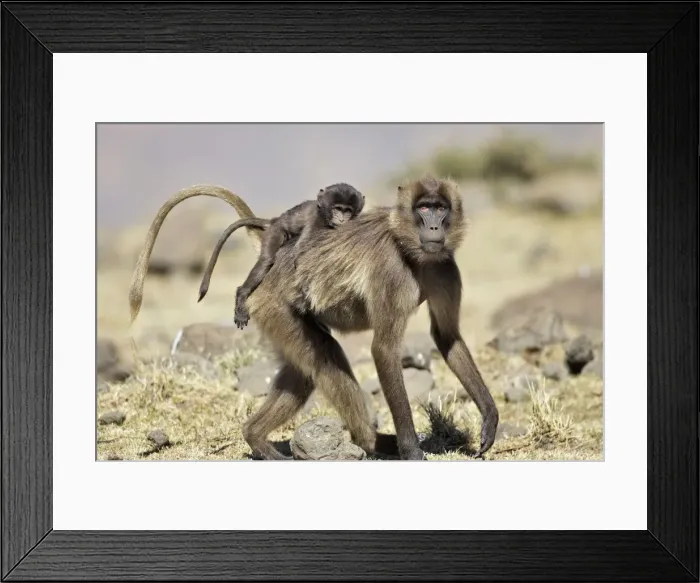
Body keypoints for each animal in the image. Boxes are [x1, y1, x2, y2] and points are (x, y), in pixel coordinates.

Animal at [197, 182, 365, 330]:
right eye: (337, 209)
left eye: (348, 211)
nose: (342, 219)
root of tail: (275, 220)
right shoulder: (316, 222)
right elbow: (300, 253)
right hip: (275, 231)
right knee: (267, 260)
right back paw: (242, 294)